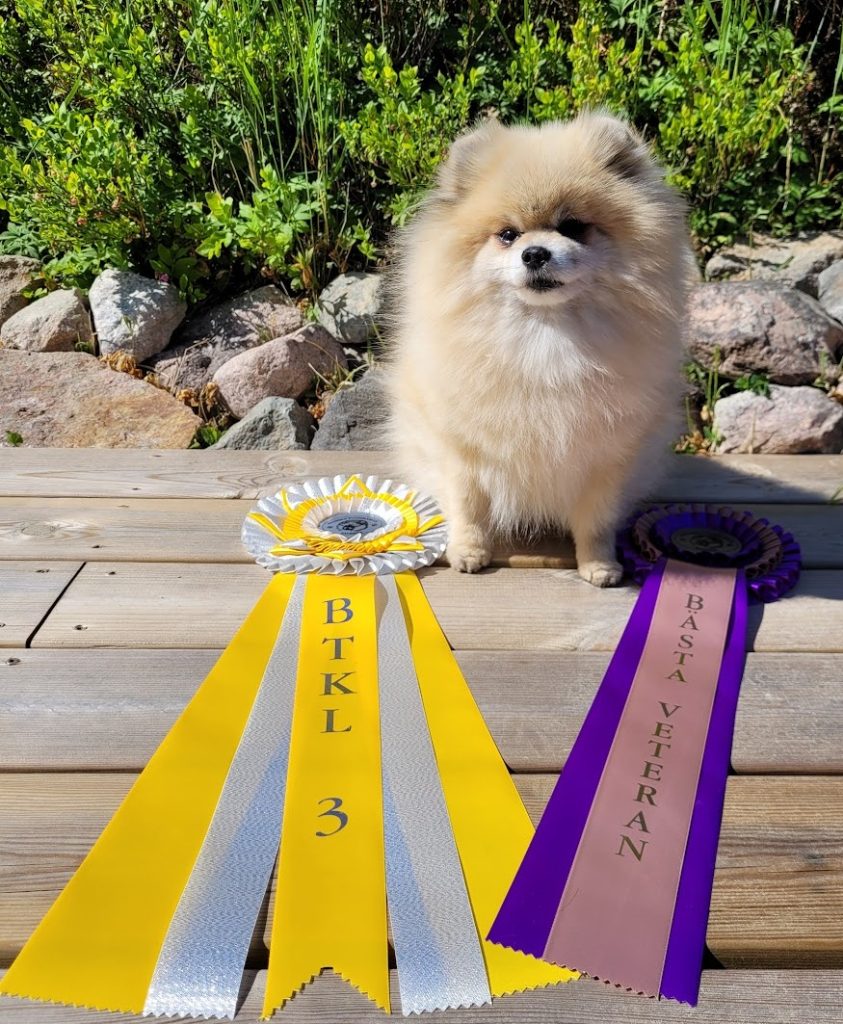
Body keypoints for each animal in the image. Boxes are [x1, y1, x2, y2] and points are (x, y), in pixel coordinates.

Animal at [383, 111, 695, 585]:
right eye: (508, 235)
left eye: (572, 227)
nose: (534, 253)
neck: (545, 336)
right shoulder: (461, 445)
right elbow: (469, 505)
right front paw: (468, 552)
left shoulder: (608, 454)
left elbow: (596, 519)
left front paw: (599, 564)